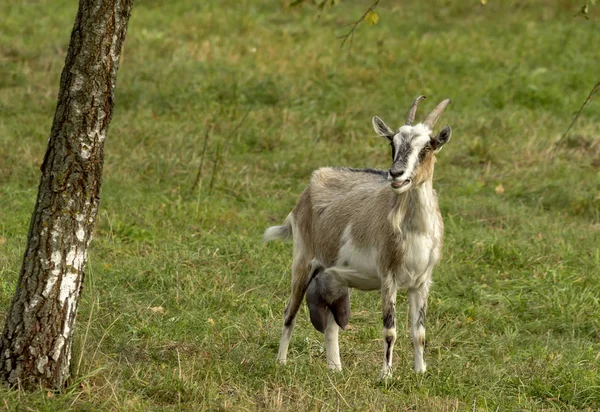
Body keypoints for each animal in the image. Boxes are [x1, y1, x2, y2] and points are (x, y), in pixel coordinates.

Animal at [264, 96, 452, 380]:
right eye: (392, 143)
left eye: (428, 146)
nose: (396, 174)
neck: (415, 232)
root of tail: (307, 191)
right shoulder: (388, 278)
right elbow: (390, 331)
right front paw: (386, 377)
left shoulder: (421, 282)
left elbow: (419, 332)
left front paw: (421, 372)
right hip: (303, 260)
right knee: (290, 312)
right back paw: (281, 362)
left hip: (335, 277)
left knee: (331, 323)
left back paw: (335, 368)